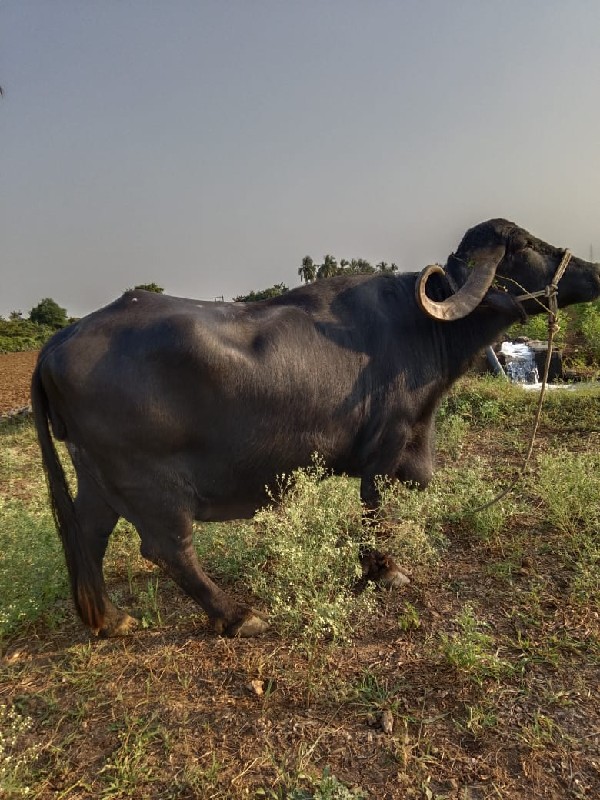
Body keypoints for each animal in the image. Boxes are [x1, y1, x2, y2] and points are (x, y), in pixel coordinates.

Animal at [32, 217, 600, 636]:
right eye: (524, 244)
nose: (593, 270)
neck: (421, 327)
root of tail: (58, 343)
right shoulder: (385, 448)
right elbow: (373, 512)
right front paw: (382, 569)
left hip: (96, 477)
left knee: (90, 532)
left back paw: (110, 619)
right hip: (149, 483)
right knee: (167, 548)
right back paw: (236, 616)